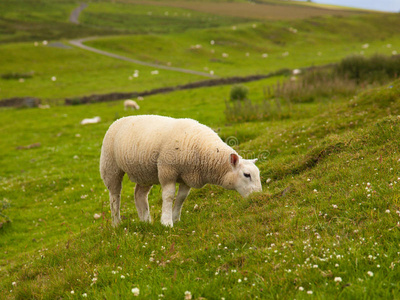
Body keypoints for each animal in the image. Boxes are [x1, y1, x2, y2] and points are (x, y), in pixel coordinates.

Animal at [100, 115, 262, 227]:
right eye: (246, 175)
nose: (258, 197)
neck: (202, 149)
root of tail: (119, 119)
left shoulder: (188, 177)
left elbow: (181, 198)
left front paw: (176, 218)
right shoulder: (167, 171)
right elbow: (169, 196)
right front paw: (166, 222)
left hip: (144, 172)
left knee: (139, 195)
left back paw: (145, 221)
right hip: (111, 167)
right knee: (114, 197)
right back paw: (116, 223)